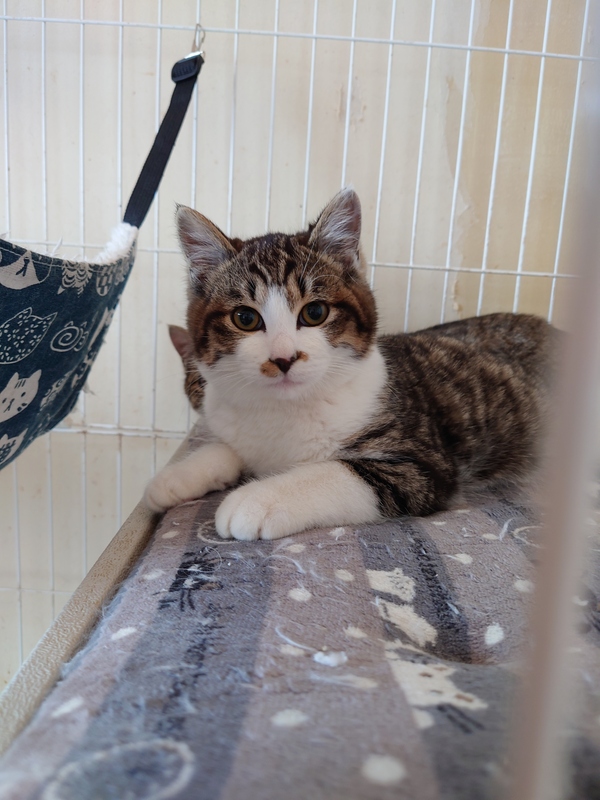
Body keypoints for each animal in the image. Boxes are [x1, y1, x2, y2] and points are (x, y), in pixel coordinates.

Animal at [144, 188, 557, 541]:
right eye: (245, 319)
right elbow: (231, 448)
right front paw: (176, 477)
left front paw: (257, 499)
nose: (283, 358)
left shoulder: (424, 466)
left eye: (314, 312)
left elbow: (344, 472)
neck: (288, 409)